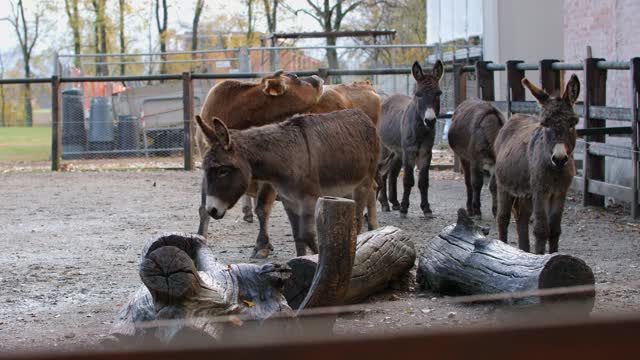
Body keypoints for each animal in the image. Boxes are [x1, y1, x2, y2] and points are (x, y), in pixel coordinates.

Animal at [195, 109, 380, 256]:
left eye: (223, 171)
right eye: (205, 170)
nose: (211, 210)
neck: (286, 156)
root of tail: (362, 115)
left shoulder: (309, 199)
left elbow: (306, 235)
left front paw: (318, 258)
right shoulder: (288, 201)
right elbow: (297, 236)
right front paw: (301, 260)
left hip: (362, 182)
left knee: (359, 215)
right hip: (344, 188)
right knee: (370, 193)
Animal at [496, 74, 580, 253]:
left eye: (572, 124)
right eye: (545, 124)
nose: (559, 158)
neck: (555, 171)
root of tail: (516, 116)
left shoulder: (560, 192)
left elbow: (554, 230)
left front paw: (552, 256)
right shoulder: (540, 191)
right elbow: (541, 230)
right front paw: (541, 257)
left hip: (527, 194)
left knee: (521, 218)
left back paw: (524, 252)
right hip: (504, 186)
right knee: (503, 218)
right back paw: (502, 246)